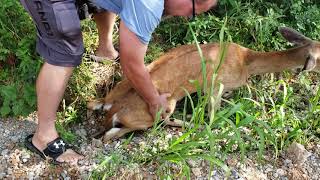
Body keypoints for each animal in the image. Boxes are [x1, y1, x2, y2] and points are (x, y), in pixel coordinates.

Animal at [87, 27, 320, 142]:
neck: (245, 62)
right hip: (163, 106)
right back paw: (191, 124)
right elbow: (213, 117)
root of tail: (113, 107)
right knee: (114, 134)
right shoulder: (215, 86)